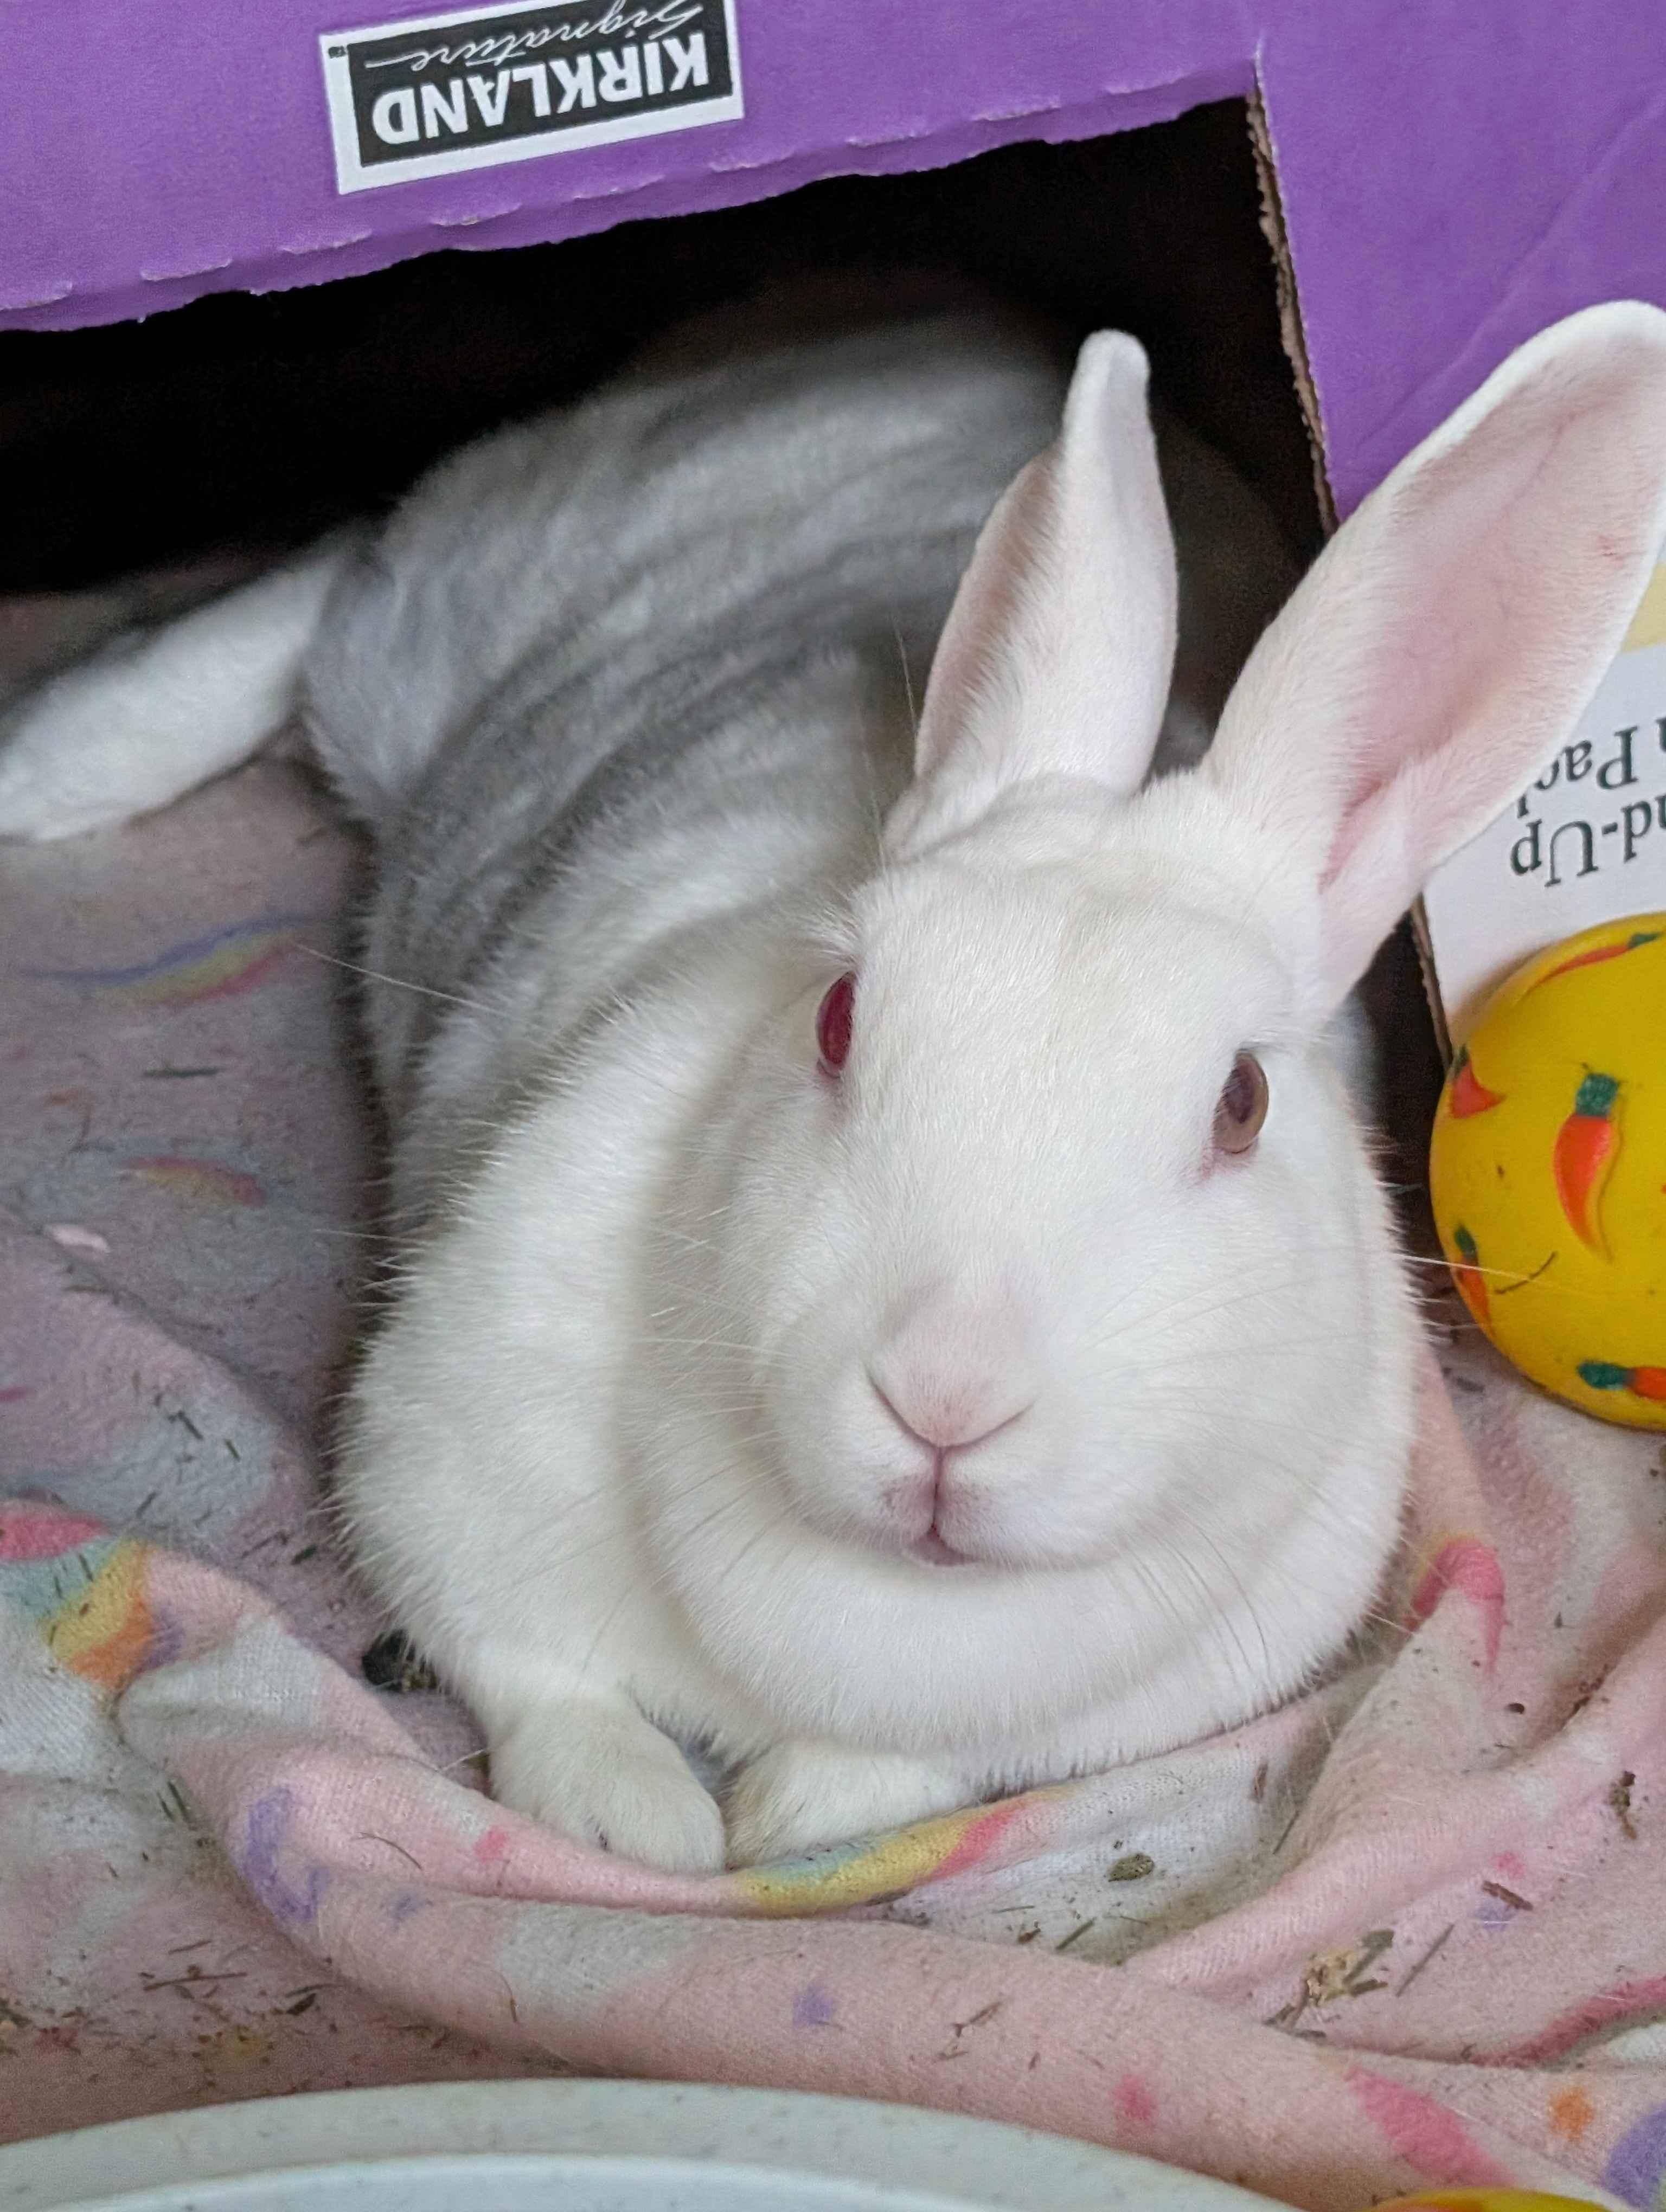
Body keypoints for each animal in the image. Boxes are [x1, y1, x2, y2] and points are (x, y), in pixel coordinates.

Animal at [3, 283, 1664, 1873]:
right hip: (462, 588)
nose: (944, 1395)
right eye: (841, 1014)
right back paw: (49, 775)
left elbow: (901, 1773)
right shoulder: (443, 1459)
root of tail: (886, 311)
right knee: (334, 579)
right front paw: (632, 1824)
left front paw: (790, 1813)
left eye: (1241, 1104)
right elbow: (532, 1669)